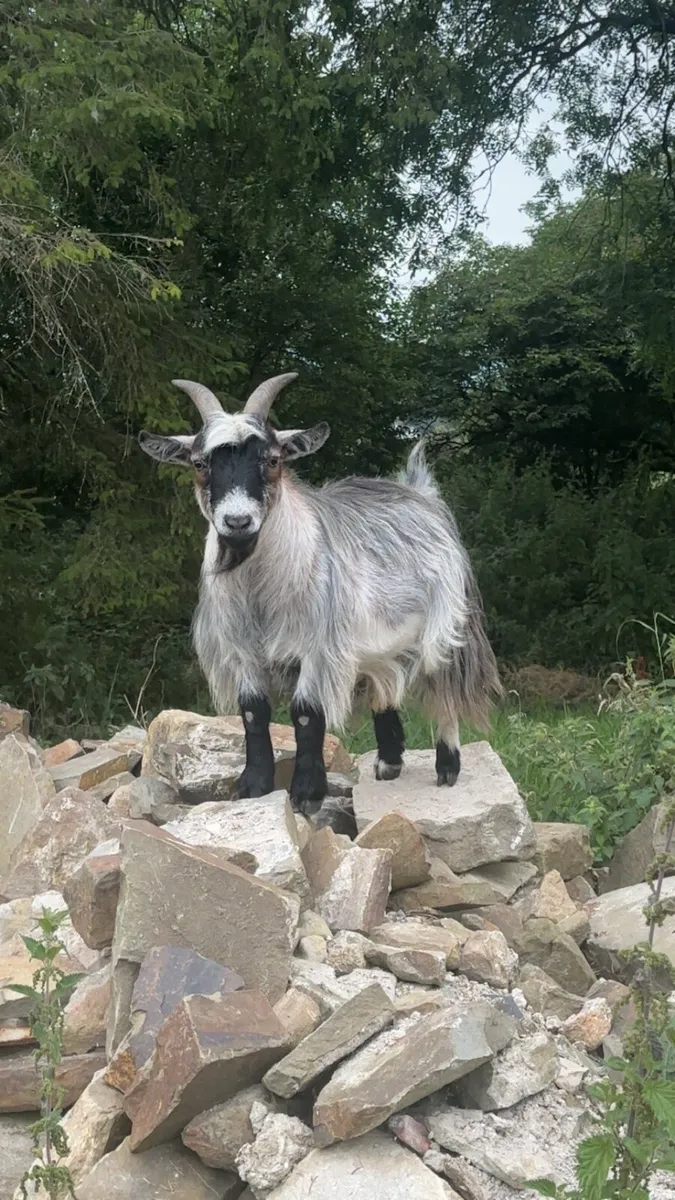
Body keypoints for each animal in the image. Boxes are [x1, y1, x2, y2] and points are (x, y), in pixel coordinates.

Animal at [139, 373, 501, 814]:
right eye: (199, 463)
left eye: (273, 460)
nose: (238, 522)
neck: (259, 592)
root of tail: (420, 492)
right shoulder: (241, 652)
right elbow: (253, 714)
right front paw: (252, 785)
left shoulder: (318, 647)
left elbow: (306, 715)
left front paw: (307, 793)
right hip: (378, 637)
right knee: (385, 681)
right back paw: (389, 762)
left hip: (448, 624)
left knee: (443, 686)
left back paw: (447, 766)